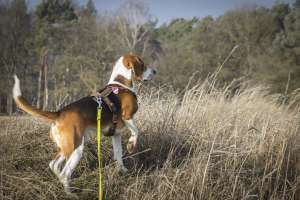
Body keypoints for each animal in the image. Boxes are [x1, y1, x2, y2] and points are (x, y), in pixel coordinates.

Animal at [12, 54, 156, 195]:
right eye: (143, 64)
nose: (155, 71)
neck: (120, 84)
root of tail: (59, 113)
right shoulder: (128, 116)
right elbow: (136, 131)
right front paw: (131, 145)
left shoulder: (116, 134)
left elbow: (118, 155)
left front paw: (123, 171)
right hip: (76, 148)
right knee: (65, 173)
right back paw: (70, 194)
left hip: (66, 147)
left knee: (53, 164)